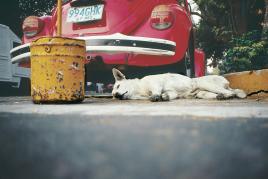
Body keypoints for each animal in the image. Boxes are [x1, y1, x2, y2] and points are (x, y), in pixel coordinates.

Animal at [111, 68, 247, 102]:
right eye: (112, 95)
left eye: (117, 86)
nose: (116, 95)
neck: (140, 90)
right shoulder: (173, 92)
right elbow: (169, 95)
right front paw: (164, 97)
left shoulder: (155, 83)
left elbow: (156, 91)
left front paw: (156, 96)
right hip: (202, 93)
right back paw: (221, 96)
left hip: (205, 84)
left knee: (231, 92)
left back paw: (228, 95)